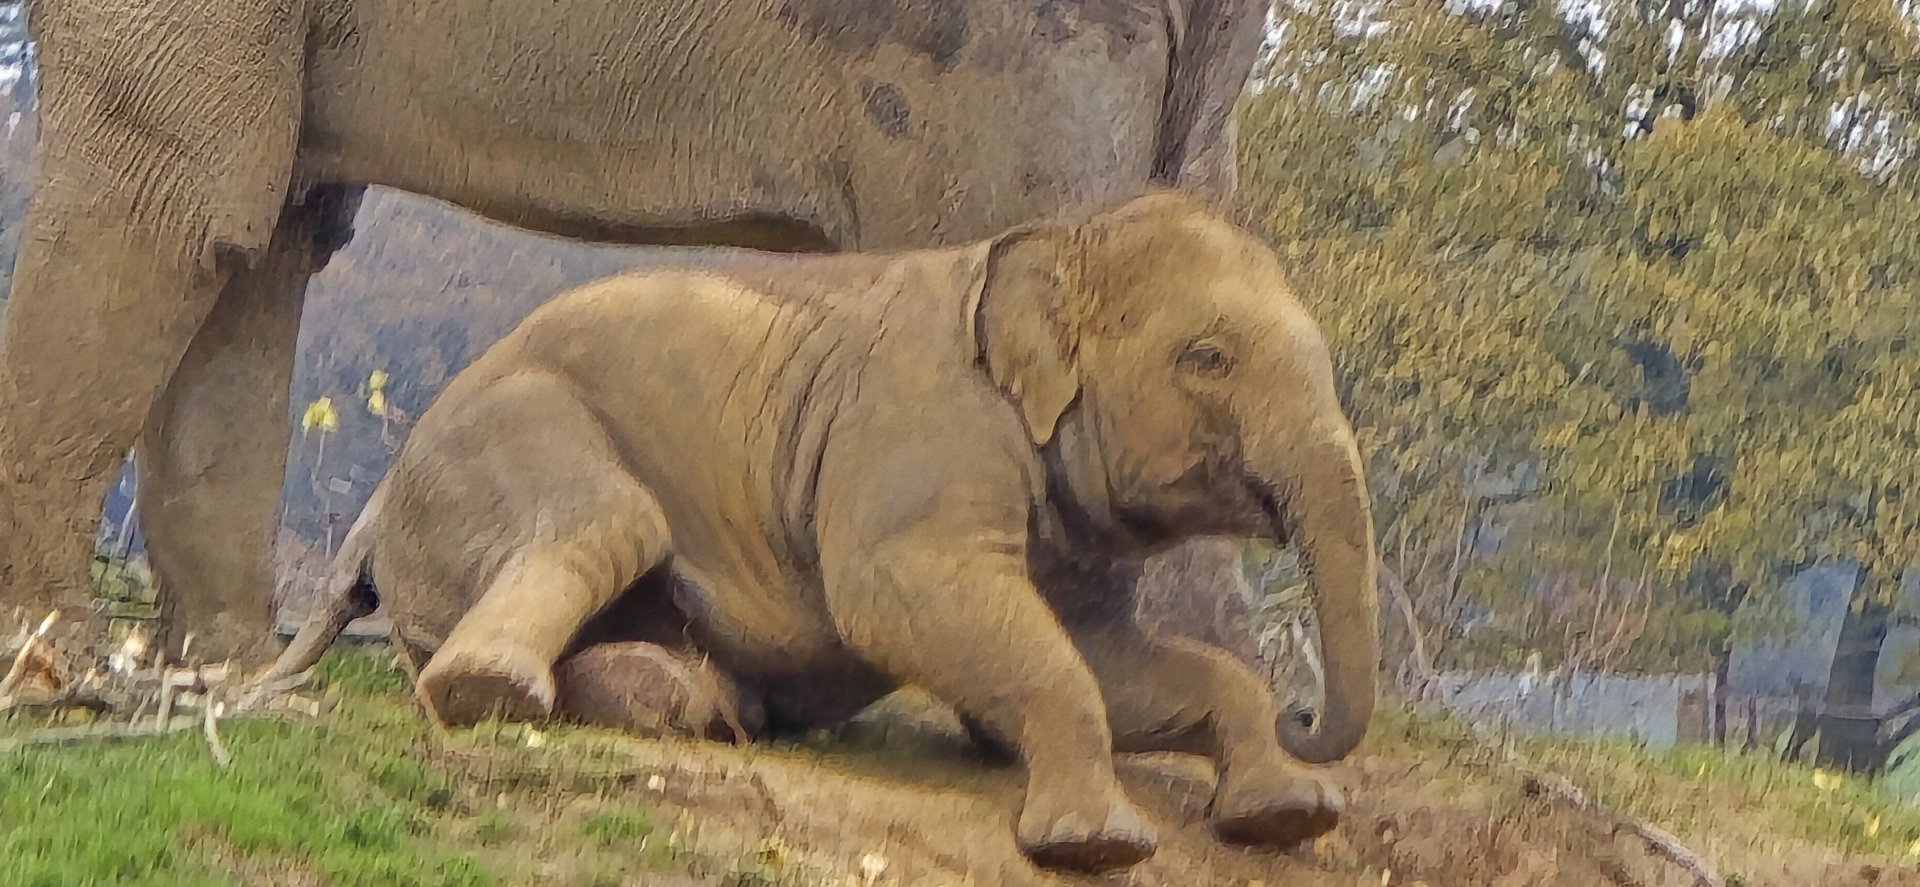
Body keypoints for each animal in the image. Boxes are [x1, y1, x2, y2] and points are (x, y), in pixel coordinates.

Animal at [256, 191, 1380, 873]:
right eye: (1208, 358)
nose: (1304, 710)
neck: (1056, 236)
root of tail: (372, 512)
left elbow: (1104, 657)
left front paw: (1288, 815)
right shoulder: (919, 424)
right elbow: (897, 597)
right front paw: (1097, 844)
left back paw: (692, 703)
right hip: (507, 439)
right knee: (608, 520)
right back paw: (493, 690)